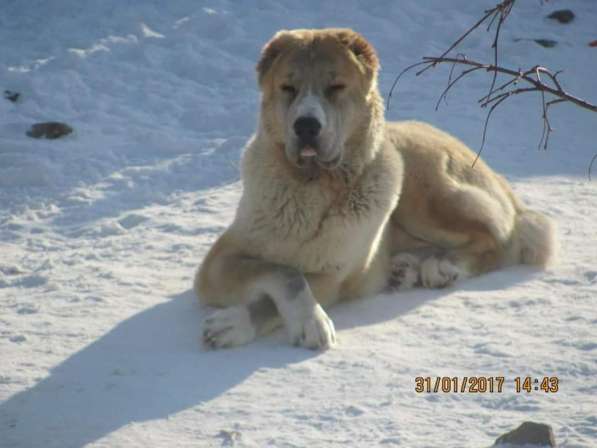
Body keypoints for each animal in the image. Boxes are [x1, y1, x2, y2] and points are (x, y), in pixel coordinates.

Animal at [193, 28, 556, 350]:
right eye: (288, 87)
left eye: (336, 86)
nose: (306, 125)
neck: (312, 187)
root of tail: (505, 186)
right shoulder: (218, 262)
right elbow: (283, 272)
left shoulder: (333, 276)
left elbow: (288, 280)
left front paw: (251, 323)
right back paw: (404, 269)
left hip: (425, 194)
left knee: (501, 239)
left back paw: (442, 265)